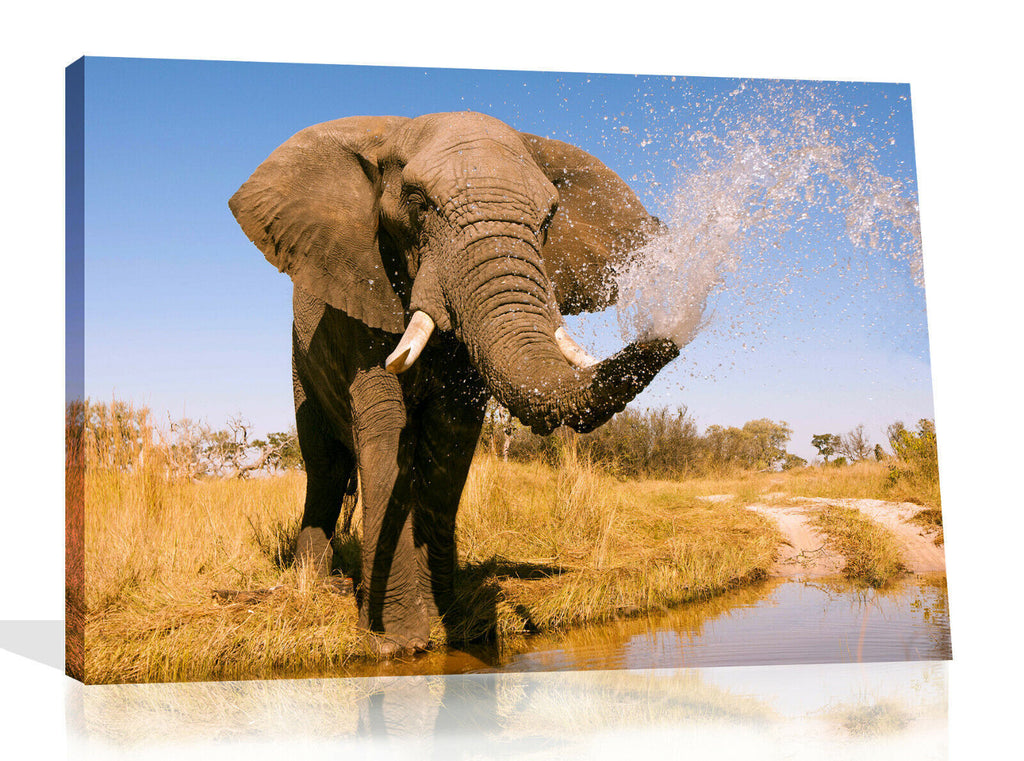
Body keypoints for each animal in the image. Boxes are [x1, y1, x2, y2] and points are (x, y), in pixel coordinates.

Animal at [229, 111, 679, 654]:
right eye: (418, 204)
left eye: (549, 218)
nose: (672, 333)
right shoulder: (363, 287)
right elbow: (386, 429)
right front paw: (396, 642)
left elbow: (451, 437)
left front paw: (453, 619)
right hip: (301, 363)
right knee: (325, 466)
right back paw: (314, 584)